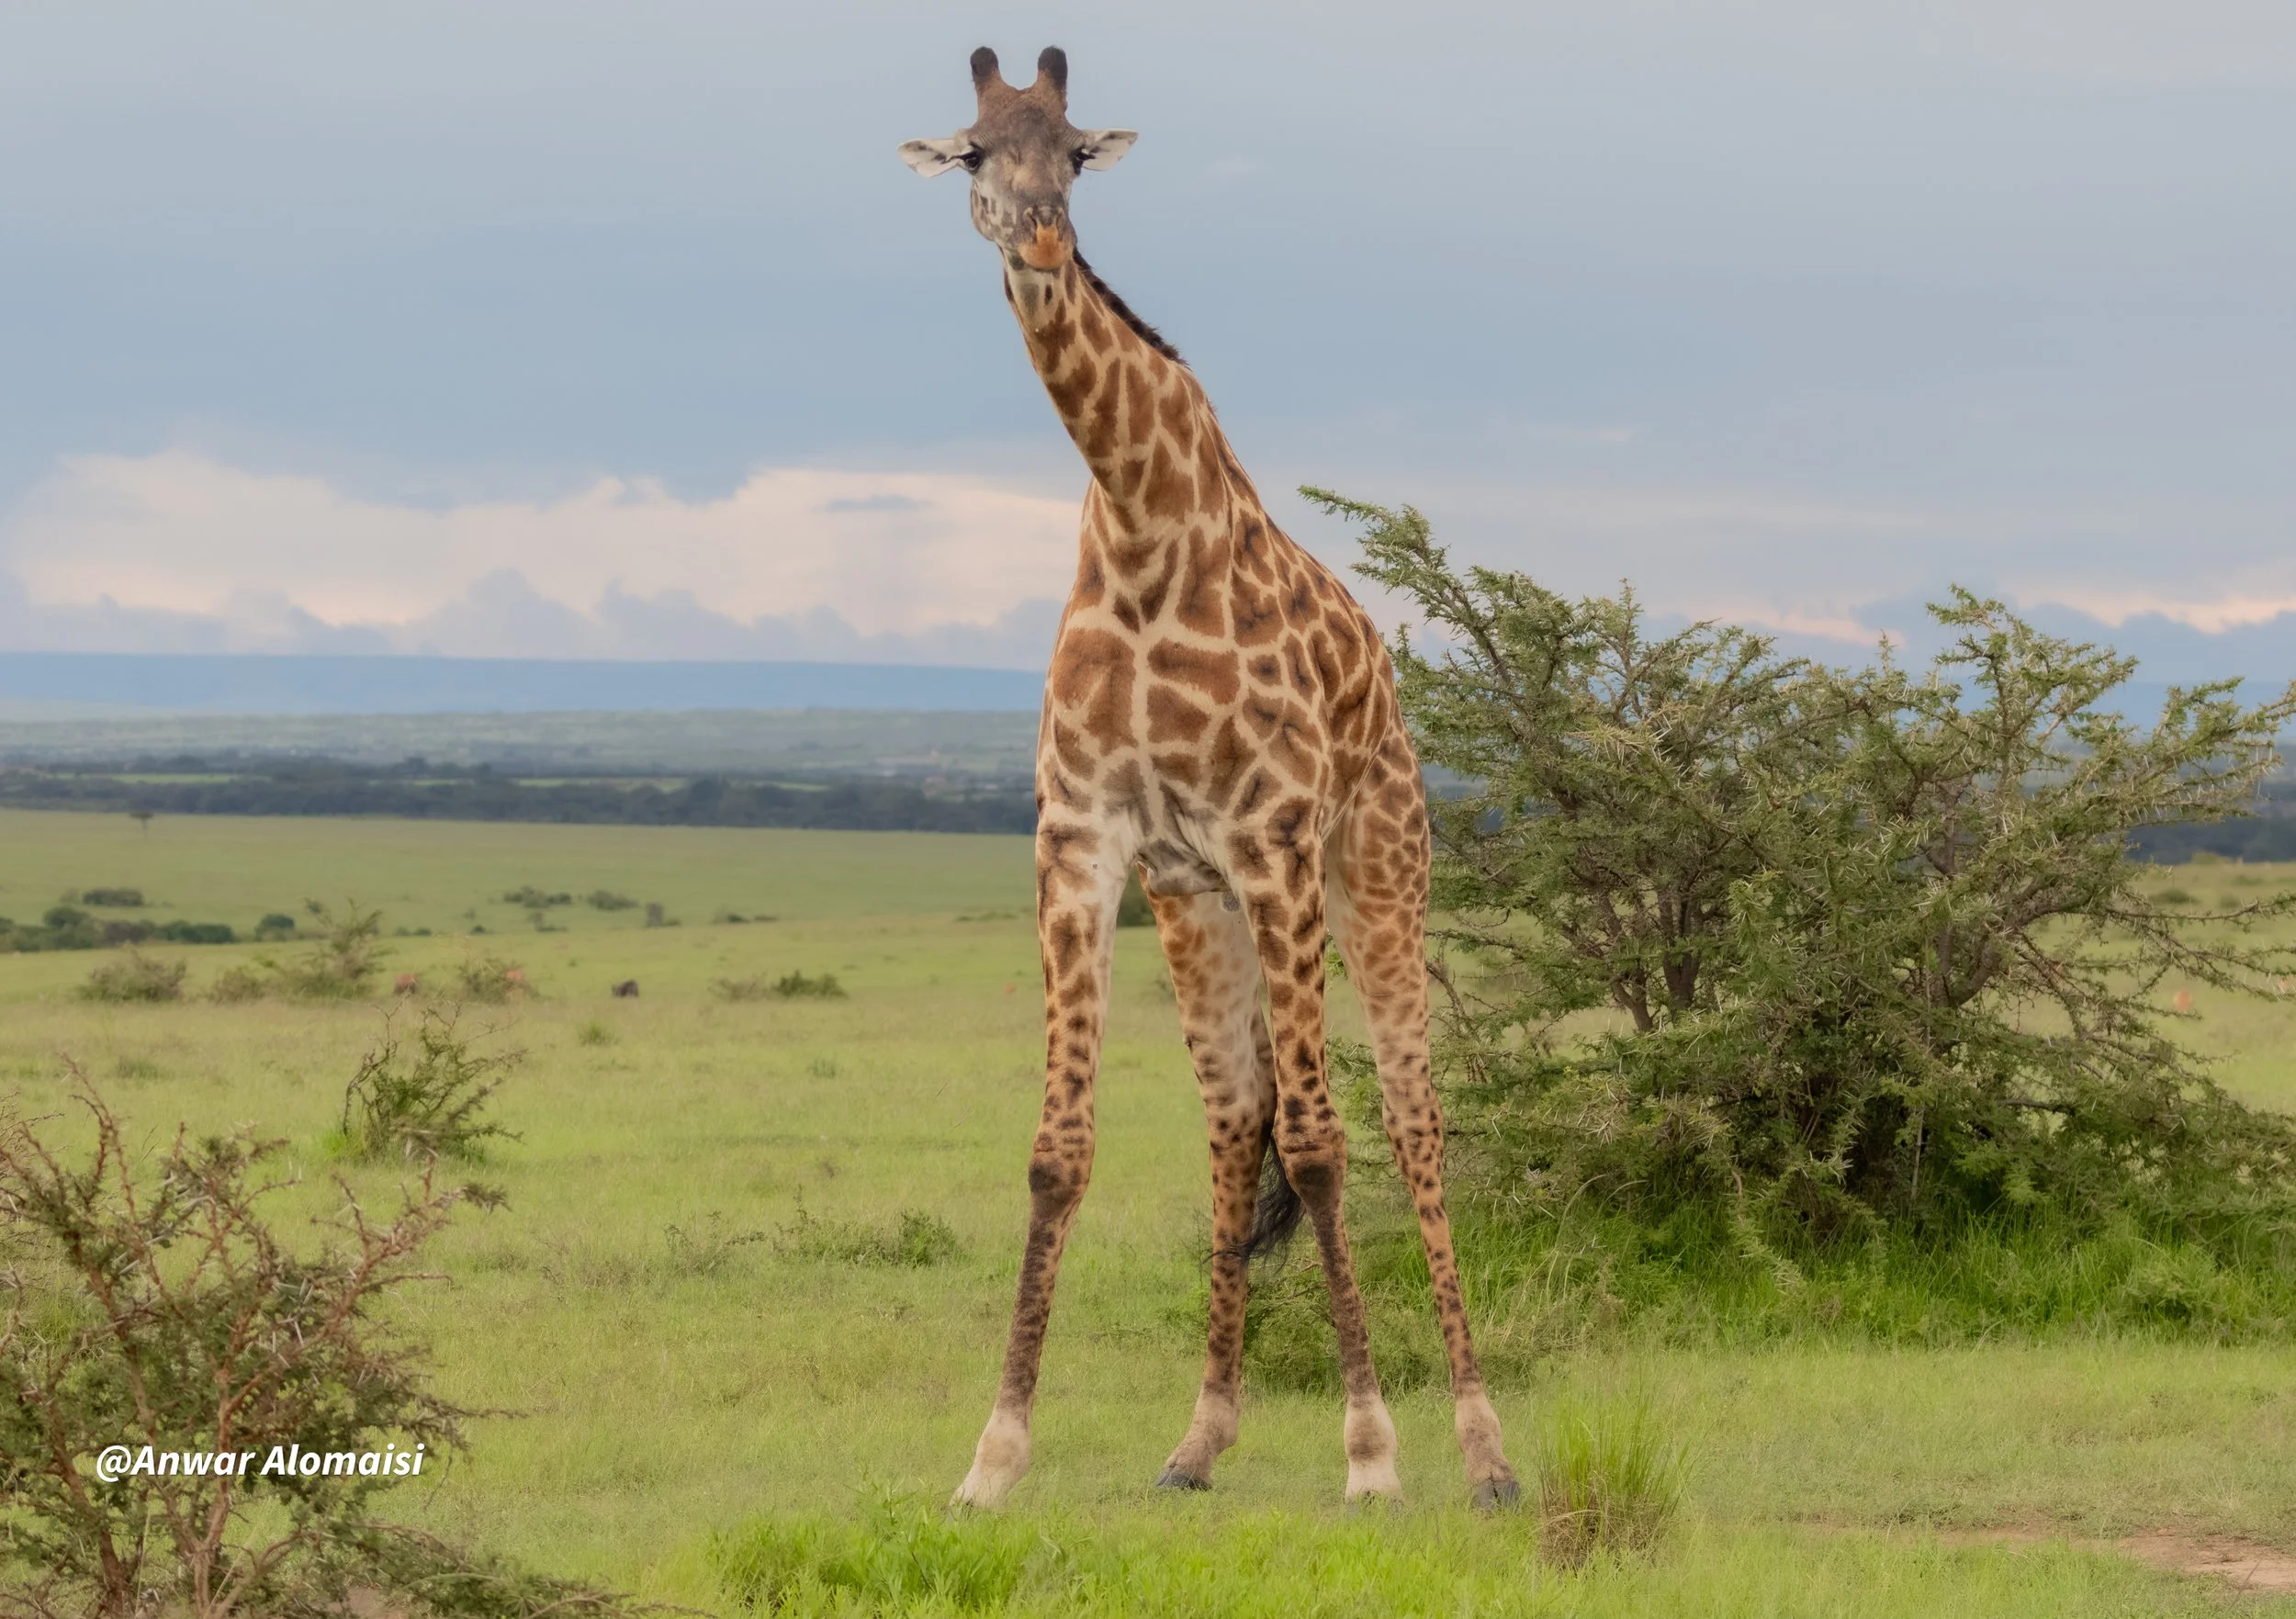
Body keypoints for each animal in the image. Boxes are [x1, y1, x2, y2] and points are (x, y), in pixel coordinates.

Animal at [900, 45, 1519, 1512]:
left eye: (1073, 150)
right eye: (973, 152)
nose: (1037, 239)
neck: (1139, 525)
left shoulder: (1275, 837)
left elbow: (1329, 1142)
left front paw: (1371, 1451)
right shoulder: (1087, 841)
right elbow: (1060, 1151)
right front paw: (993, 1455)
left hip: (1376, 865)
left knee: (1407, 1114)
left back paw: (1482, 1446)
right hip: (1199, 906)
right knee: (1235, 1117)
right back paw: (1201, 1435)